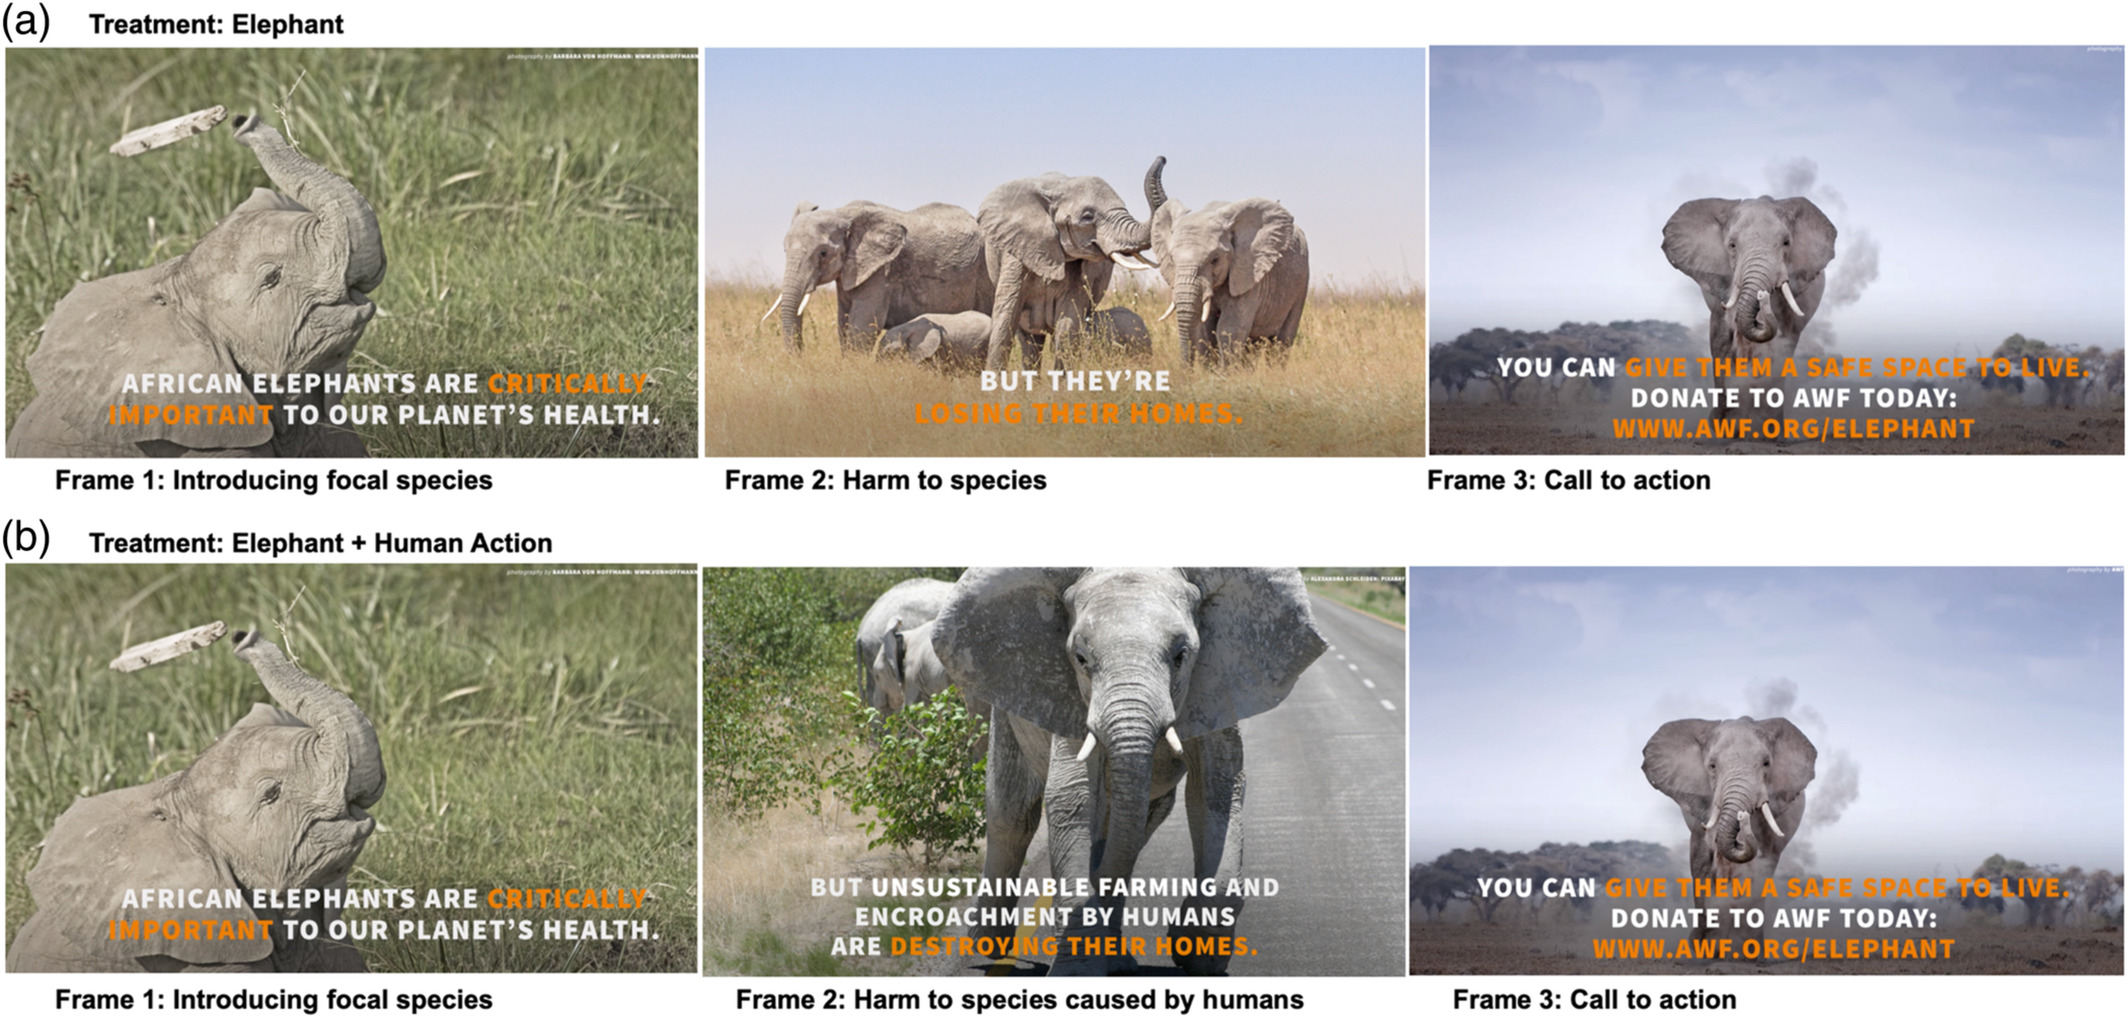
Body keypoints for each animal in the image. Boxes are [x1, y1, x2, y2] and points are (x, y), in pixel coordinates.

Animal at [763, 201, 993, 354]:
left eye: (823, 253)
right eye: (785, 250)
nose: (800, 356)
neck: (843, 214)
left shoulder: (881, 271)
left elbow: (861, 325)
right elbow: (843, 323)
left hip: (986, 270)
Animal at [932, 567, 1325, 976]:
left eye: (1181, 656)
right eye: (1080, 658)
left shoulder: (1218, 685)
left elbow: (1217, 789)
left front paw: (1197, 955)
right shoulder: (1069, 697)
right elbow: (1072, 795)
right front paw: (1076, 972)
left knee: (1134, 831)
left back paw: (1118, 958)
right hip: (1006, 709)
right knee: (1012, 815)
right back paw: (988, 946)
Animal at [977, 172, 1159, 372]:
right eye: (1087, 217)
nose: (1161, 161)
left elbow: (1068, 323)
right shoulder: (1017, 249)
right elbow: (1006, 315)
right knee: (1029, 341)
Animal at [1144, 157, 1310, 368]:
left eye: (1215, 259)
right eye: (1172, 259)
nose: (1163, 158)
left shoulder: (1248, 272)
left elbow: (1230, 327)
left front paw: (1225, 373)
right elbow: (1206, 328)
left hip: (1301, 281)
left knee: (1283, 339)